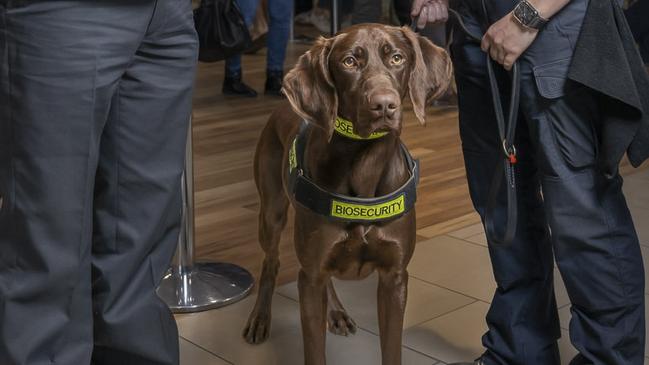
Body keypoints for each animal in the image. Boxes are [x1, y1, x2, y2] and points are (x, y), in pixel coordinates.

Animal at [242, 24, 450, 362]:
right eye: (349, 62)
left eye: (396, 58)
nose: (384, 105)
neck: (365, 164)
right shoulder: (310, 277)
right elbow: (314, 351)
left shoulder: (394, 278)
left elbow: (391, 349)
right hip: (271, 211)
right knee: (271, 261)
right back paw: (260, 319)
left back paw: (336, 312)